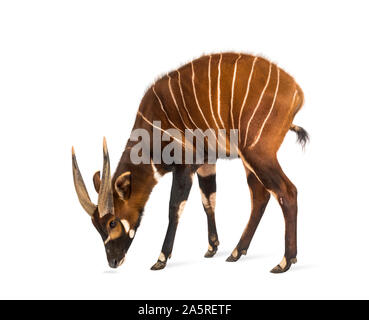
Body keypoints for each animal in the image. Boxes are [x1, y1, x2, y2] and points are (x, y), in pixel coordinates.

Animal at [70, 52, 306, 272]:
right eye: (95, 225)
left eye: (112, 222)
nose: (113, 262)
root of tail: (297, 93)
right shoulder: (206, 163)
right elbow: (208, 200)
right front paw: (212, 247)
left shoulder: (185, 166)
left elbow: (174, 208)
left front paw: (161, 259)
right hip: (250, 160)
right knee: (260, 195)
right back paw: (237, 252)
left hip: (258, 154)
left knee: (287, 192)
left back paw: (285, 261)